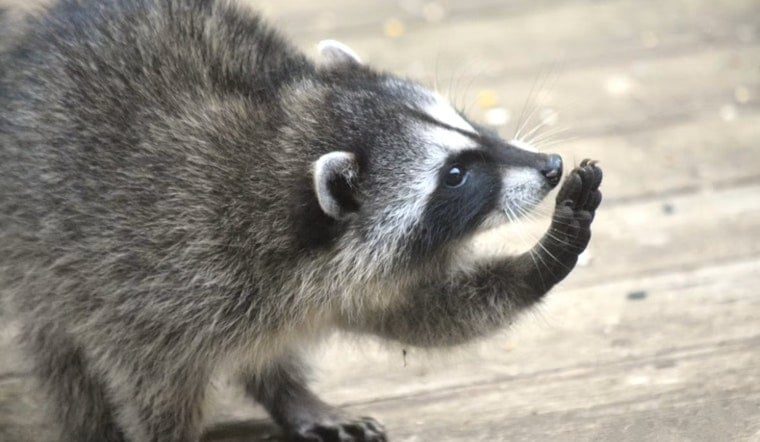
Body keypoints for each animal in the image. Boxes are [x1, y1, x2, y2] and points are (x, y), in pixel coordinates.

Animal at [0, 0, 602, 441]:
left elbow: (424, 312)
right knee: (60, 346)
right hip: (36, 244)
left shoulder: (354, 274)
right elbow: (147, 380)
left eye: (465, 121)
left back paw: (291, 395)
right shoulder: (153, 272)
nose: (550, 167)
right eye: (455, 174)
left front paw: (545, 256)